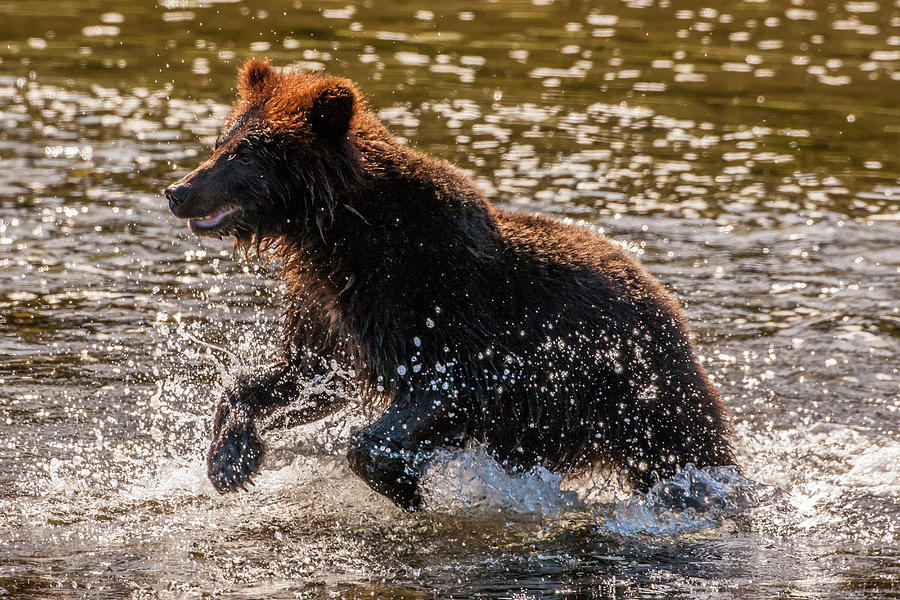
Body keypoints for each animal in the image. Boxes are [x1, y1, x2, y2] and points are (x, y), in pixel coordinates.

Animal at [165, 59, 736, 510]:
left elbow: (433, 393)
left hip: (642, 392)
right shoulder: (330, 310)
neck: (341, 234)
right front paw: (230, 459)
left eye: (246, 154)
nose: (177, 190)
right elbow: (302, 373)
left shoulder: (437, 308)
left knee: (689, 455)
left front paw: (405, 485)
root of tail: (667, 302)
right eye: (221, 141)